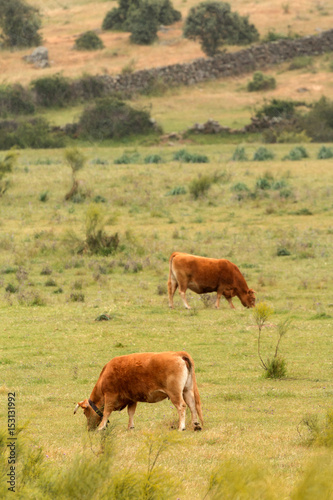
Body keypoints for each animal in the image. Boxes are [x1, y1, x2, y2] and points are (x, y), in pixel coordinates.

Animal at [74, 350, 202, 432]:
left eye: (84, 412)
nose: (89, 429)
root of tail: (178, 353)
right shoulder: (131, 399)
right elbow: (131, 412)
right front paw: (130, 427)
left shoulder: (110, 395)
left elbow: (106, 412)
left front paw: (101, 427)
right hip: (187, 390)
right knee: (192, 406)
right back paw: (196, 425)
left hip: (175, 393)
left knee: (182, 406)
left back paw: (181, 427)